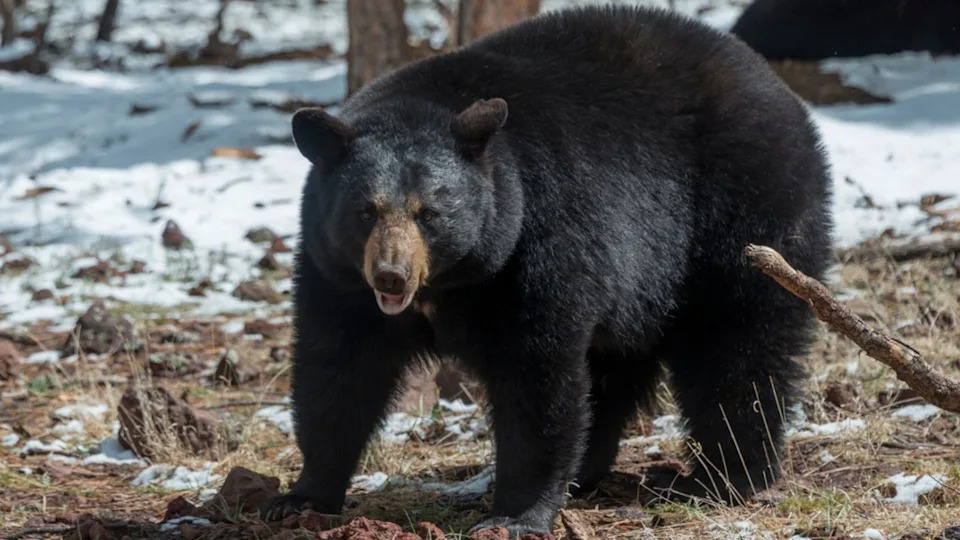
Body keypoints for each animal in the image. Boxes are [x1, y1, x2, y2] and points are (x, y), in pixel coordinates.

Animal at [261, 5, 832, 536]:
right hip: (645, 278)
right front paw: (300, 496)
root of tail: (772, 82)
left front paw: (515, 515)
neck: (450, 283)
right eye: (366, 211)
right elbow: (337, 369)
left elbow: (536, 375)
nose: (391, 276)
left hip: (745, 210)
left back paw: (720, 478)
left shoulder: (535, 245)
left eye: (430, 213)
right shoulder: (335, 273)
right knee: (617, 365)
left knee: (738, 342)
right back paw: (592, 469)